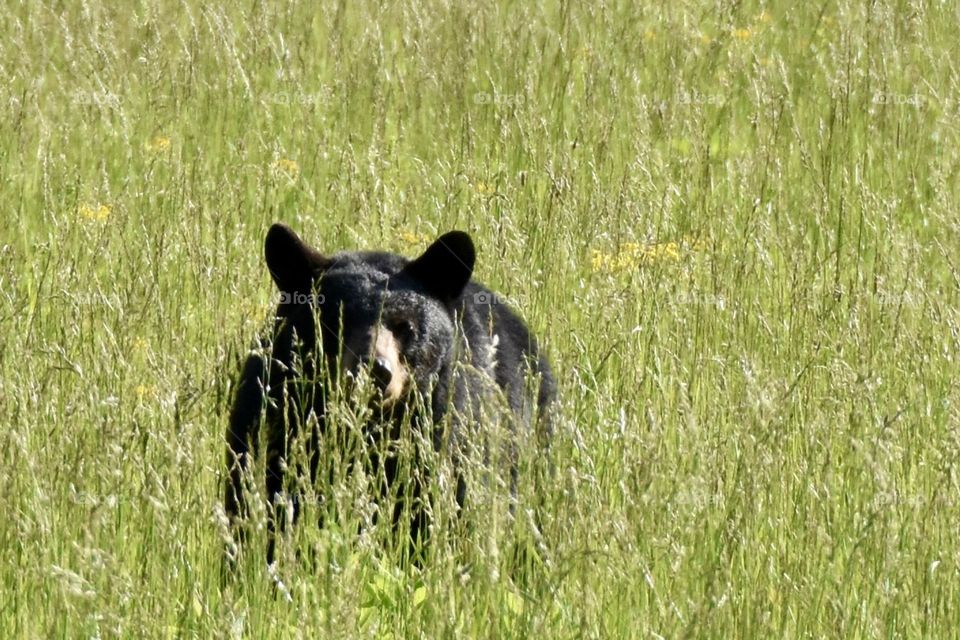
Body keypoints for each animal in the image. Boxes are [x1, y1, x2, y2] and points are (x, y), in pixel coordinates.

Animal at [224, 223, 555, 564]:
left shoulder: (451, 426)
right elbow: (262, 496)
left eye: (404, 325)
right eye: (336, 320)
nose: (375, 369)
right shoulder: (272, 415)